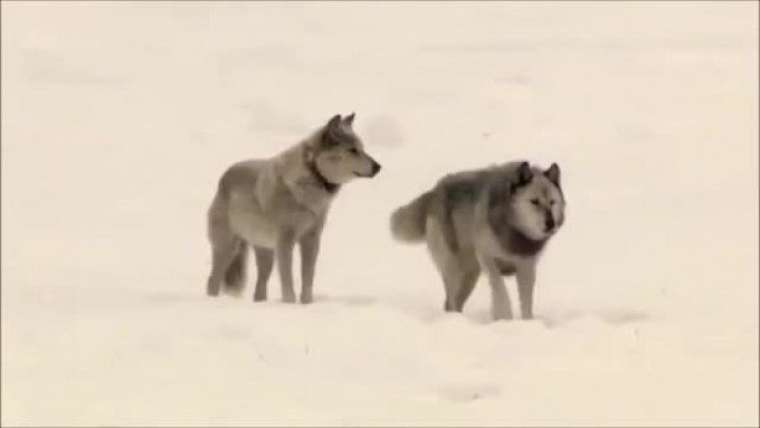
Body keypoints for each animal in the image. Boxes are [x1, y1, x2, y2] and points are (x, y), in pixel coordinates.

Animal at [206, 112, 380, 302]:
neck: (312, 177)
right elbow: (287, 279)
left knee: (260, 286)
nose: (378, 167)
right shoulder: (285, 241)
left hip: (266, 254)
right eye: (353, 150)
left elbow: (308, 277)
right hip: (228, 248)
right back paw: (212, 299)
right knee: (212, 279)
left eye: (362, 149)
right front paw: (290, 302)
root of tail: (224, 177)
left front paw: (307, 303)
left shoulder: (311, 240)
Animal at [392, 161, 564, 320]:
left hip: (470, 275)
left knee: (453, 303)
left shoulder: (526, 266)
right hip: (454, 269)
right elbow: (500, 290)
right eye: (534, 202)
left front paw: (526, 323)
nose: (551, 223)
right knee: (451, 301)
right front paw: (504, 318)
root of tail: (434, 191)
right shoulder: (487, 258)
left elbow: (526, 303)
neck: (512, 229)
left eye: (552, 202)